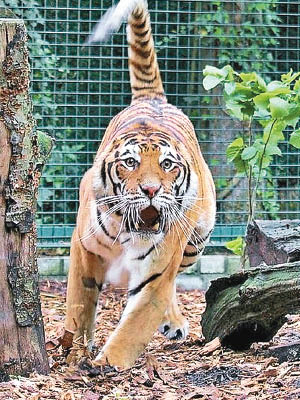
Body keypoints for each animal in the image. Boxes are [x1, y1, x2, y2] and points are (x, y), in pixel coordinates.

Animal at [61, 0, 216, 368]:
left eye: (167, 165)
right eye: (130, 162)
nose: (150, 190)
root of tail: (153, 99)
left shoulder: (156, 275)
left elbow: (135, 325)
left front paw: (106, 365)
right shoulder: (83, 249)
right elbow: (79, 303)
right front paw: (76, 352)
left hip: (196, 241)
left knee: (175, 281)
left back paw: (173, 324)